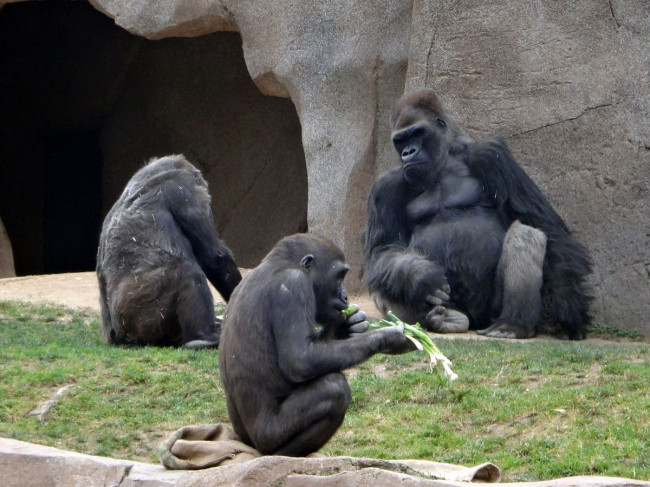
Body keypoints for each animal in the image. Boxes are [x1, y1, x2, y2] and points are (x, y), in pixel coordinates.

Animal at [98, 154, 243, 348]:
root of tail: (115, 336)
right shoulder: (182, 192)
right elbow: (214, 258)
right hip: (138, 318)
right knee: (185, 270)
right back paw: (202, 337)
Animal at [216, 234, 410, 456]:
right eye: (339, 276)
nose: (345, 295)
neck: (280, 264)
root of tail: (245, 442)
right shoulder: (294, 285)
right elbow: (301, 359)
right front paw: (390, 337)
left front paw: (346, 326)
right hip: (267, 435)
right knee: (334, 388)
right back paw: (285, 455)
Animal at [364, 88, 592, 340]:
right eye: (400, 140)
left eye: (418, 133)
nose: (408, 152)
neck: (444, 161)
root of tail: (474, 321)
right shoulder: (384, 186)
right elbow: (384, 250)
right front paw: (420, 276)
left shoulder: (491, 153)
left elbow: (542, 221)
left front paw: (568, 304)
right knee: (385, 277)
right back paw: (446, 318)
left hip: (490, 312)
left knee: (526, 234)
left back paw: (512, 323)